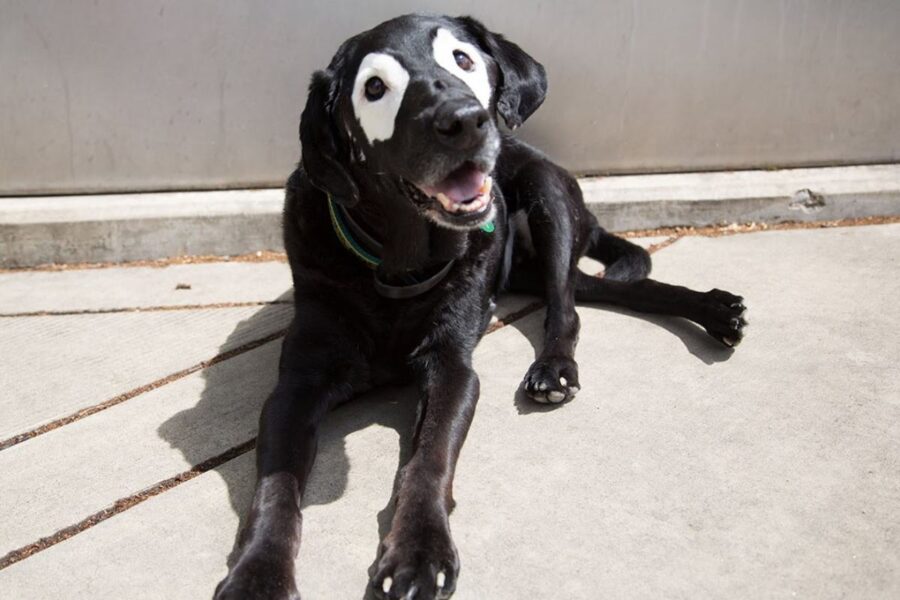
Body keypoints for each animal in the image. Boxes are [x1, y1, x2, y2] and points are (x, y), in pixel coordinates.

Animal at [216, 14, 744, 600]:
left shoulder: (452, 370)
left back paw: (561, 367)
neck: (399, 265)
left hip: (548, 198)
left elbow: (428, 461)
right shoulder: (296, 385)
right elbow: (275, 488)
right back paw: (716, 310)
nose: (463, 120)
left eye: (463, 58)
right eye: (374, 88)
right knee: (607, 289)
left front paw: (419, 552)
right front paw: (258, 575)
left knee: (566, 306)